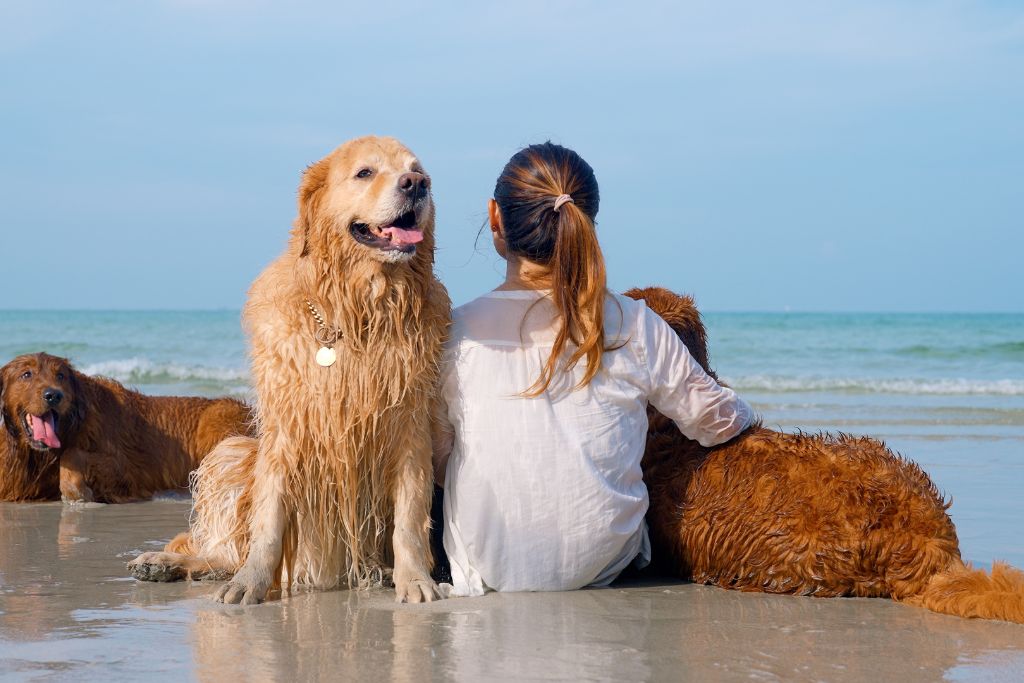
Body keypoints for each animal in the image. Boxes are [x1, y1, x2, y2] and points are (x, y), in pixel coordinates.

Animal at [1, 352, 252, 501]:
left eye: (61, 375)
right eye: (26, 374)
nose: (54, 395)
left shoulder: (125, 471)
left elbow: (72, 455)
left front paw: (78, 492)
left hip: (218, 420)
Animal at [128, 137, 448, 602]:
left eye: (418, 170)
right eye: (365, 172)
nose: (416, 184)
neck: (354, 315)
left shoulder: (408, 426)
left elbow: (409, 519)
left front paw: (416, 579)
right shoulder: (286, 426)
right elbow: (268, 522)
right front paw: (252, 583)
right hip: (232, 451)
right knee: (225, 553)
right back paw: (165, 563)